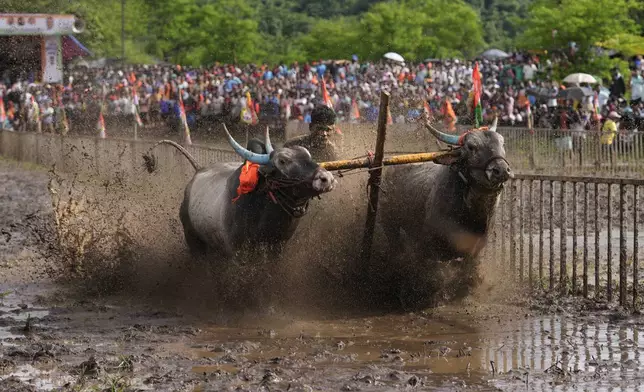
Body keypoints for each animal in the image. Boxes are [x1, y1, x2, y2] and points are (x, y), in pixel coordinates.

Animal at [144, 126, 338, 260]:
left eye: (308, 154)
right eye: (283, 161)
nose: (326, 178)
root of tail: (199, 170)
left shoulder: (277, 249)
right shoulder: (237, 253)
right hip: (193, 240)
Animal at [378, 118, 512, 262]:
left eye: (502, 143)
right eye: (471, 147)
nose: (501, 170)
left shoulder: (473, 254)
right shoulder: (431, 250)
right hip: (389, 224)